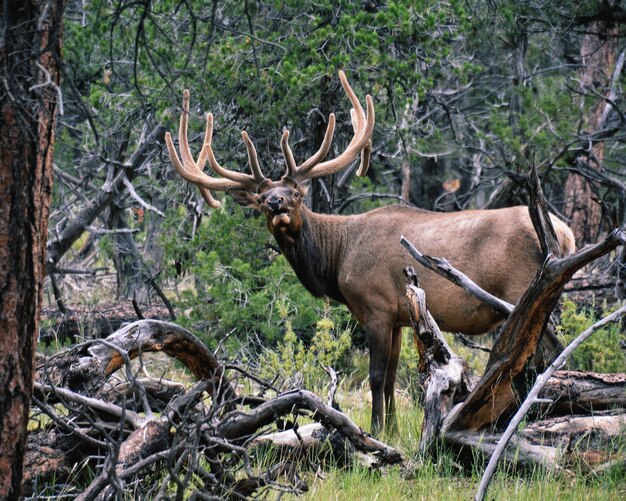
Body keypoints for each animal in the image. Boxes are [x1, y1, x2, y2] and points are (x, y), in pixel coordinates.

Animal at [163, 70, 572, 430]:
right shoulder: (400, 315)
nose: (278, 204)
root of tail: (565, 233)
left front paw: (375, 427)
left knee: (547, 354)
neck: (336, 259)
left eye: (296, 193)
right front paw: (390, 425)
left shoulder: (375, 306)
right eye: (262, 200)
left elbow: (375, 375)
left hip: (522, 292)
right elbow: (391, 377)